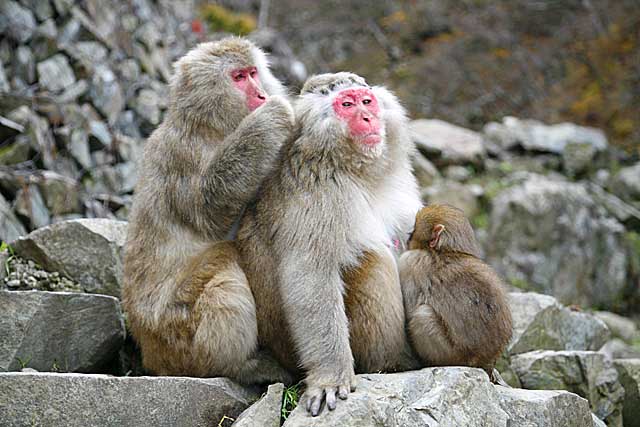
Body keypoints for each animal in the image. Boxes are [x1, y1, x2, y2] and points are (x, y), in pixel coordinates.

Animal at [121, 37, 296, 384]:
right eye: (239, 77)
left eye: (253, 72)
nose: (261, 94)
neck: (213, 126)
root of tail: (150, 354)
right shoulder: (182, 153)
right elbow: (208, 211)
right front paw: (271, 117)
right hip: (177, 333)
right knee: (224, 265)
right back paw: (237, 367)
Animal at [236, 72, 424, 416]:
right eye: (346, 105)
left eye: (367, 101)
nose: (368, 117)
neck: (352, 169)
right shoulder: (319, 196)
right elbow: (311, 278)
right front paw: (330, 376)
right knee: (371, 260)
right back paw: (395, 363)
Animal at [398, 204, 512, 382]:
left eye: (414, 229)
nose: (408, 237)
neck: (448, 251)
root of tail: (484, 363)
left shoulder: (408, 262)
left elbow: (409, 311)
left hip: (454, 356)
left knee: (423, 315)